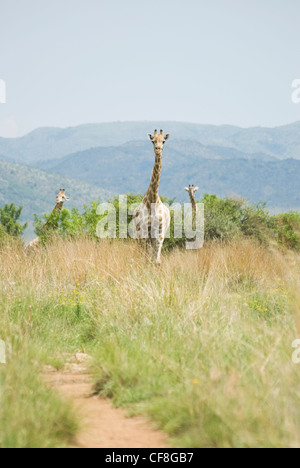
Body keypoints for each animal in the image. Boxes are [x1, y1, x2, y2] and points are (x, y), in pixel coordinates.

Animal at [134, 130, 171, 266]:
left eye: (163, 141)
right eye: (153, 141)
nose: (157, 149)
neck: (153, 199)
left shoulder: (159, 234)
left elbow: (156, 260)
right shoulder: (144, 233)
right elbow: (146, 259)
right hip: (139, 236)